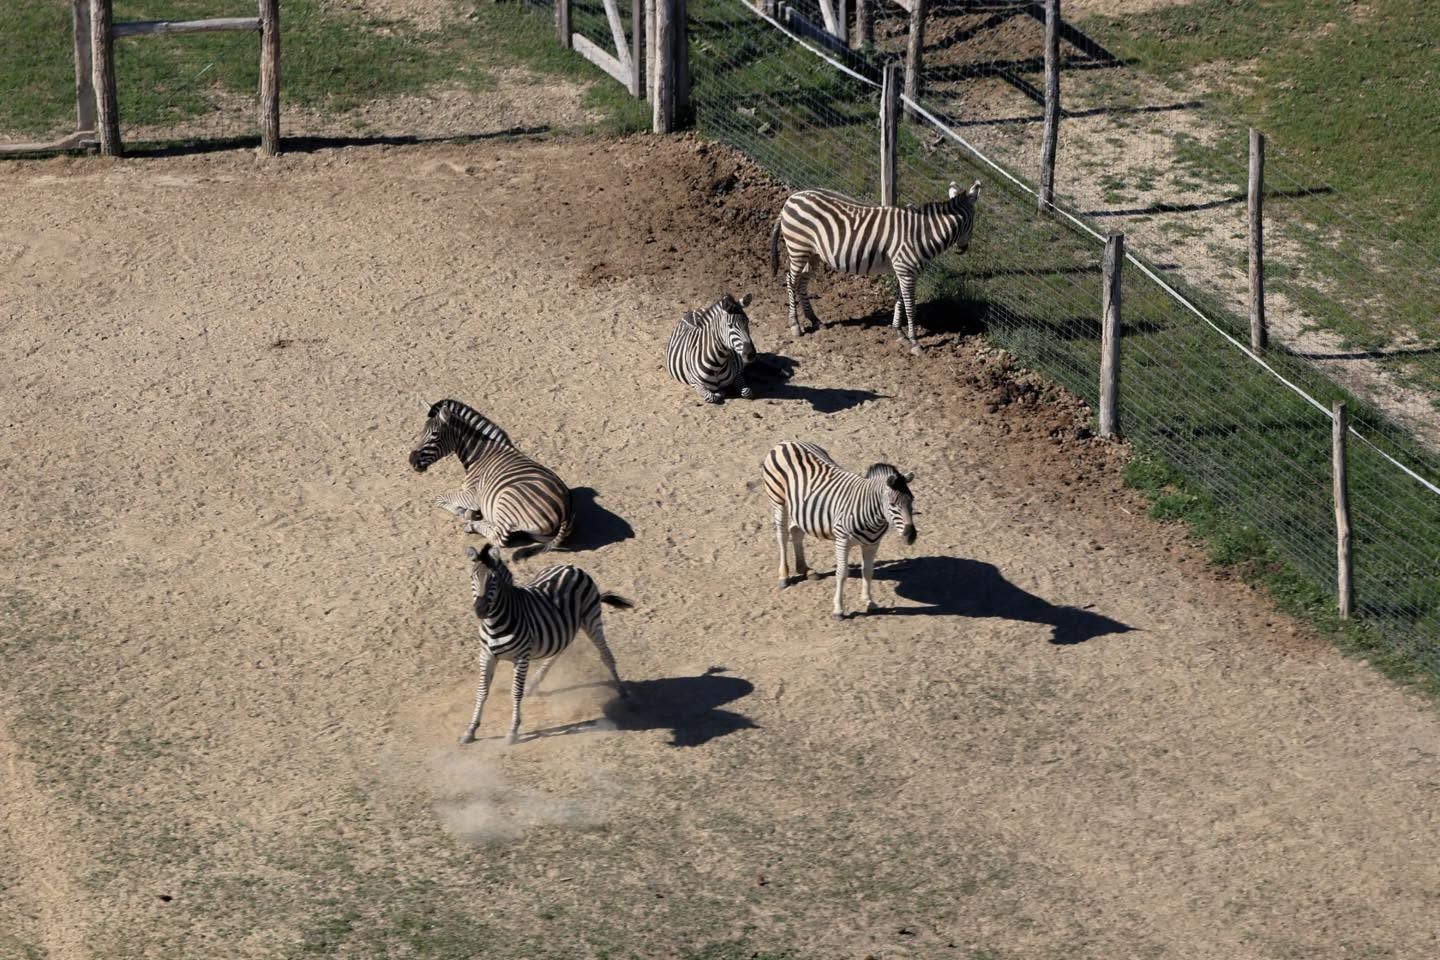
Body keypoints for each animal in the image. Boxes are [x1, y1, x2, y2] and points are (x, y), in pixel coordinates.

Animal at [408, 399, 572, 561]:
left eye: (434, 434)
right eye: (421, 432)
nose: (411, 460)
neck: (480, 456)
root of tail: (566, 509)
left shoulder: (472, 496)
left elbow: (439, 498)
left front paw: (461, 511)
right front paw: (467, 512)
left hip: (508, 498)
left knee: (498, 538)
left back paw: (472, 525)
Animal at [459, 543, 631, 744]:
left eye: (493, 580)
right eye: (472, 577)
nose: (480, 610)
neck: (495, 623)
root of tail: (571, 567)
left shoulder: (521, 658)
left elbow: (515, 693)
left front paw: (513, 731)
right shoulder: (486, 655)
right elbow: (481, 692)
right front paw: (470, 730)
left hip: (591, 620)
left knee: (606, 655)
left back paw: (623, 693)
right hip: (563, 628)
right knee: (558, 650)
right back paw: (534, 684)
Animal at [762, 440, 917, 620]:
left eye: (912, 500)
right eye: (892, 504)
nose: (911, 536)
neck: (872, 515)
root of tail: (787, 442)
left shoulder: (873, 544)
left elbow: (868, 571)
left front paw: (869, 601)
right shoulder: (842, 541)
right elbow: (842, 573)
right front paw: (838, 610)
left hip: (800, 508)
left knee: (796, 531)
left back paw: (805, 569)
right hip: (778, 500)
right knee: (782, 535)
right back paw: (784, 576)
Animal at [769, 180, 981, 353]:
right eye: (973, 222)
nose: (963, 249)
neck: (921, 234)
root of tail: (791, 198)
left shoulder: (903, 271)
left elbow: (900, 301)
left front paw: (899, 333)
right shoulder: (906, 271)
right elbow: (910, 307)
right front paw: (914, 342)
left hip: (813, 254)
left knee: (802, 282)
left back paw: (814, 319)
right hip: (798, 248)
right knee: (790, 280)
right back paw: (795, 324)